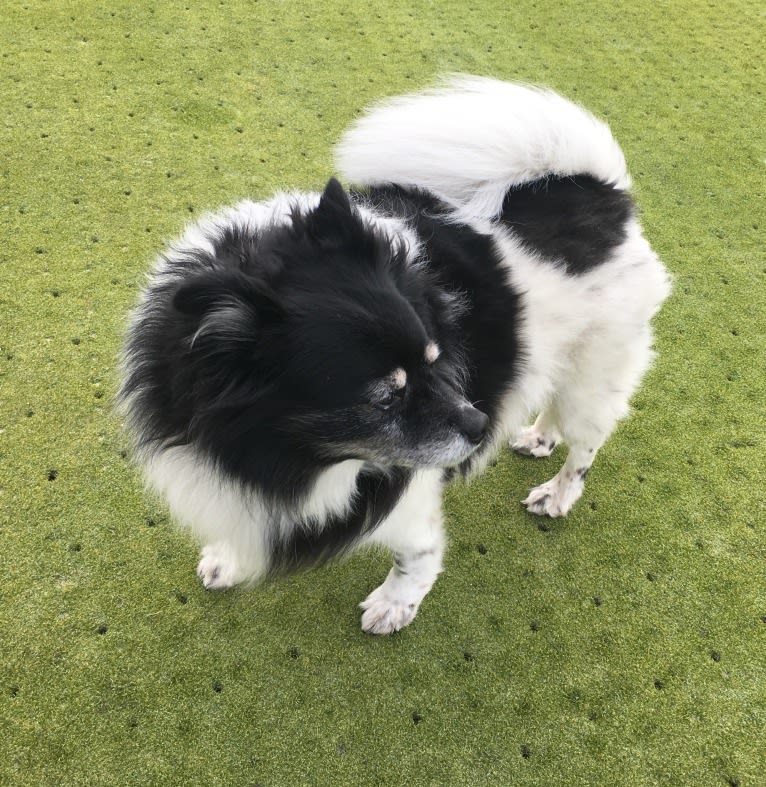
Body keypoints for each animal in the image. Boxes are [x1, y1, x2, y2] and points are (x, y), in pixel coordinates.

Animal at [120, 75, 672, 636]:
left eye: (435, 360)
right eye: (385, 398)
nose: (480, 427)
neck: (279, 459)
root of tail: (601, 190)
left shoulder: (406, 497)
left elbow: (417, 556)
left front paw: (394, 605)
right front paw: (228, 560)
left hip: (597, 373)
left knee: (585, 446)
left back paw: (557, 494)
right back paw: (539, 437)